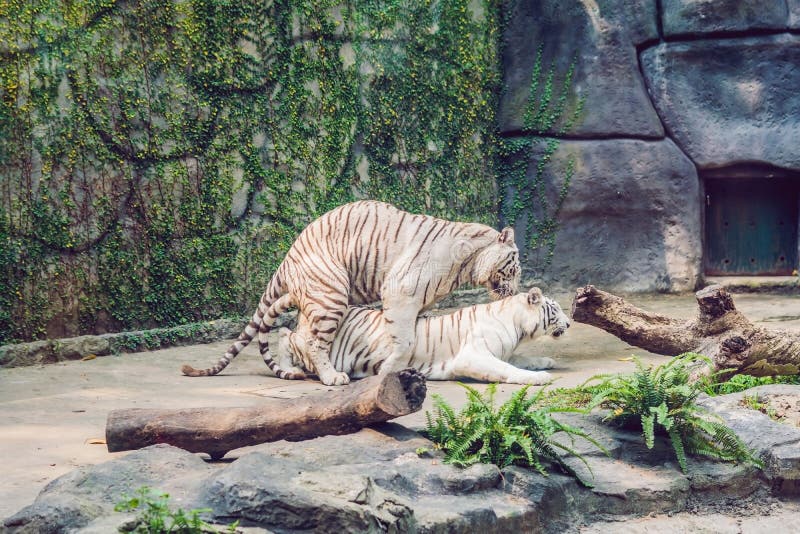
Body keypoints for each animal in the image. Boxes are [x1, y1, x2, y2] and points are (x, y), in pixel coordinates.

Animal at [181, 200, 521, 386]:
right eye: (515, 266)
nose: (516, 291)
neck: (467, 262)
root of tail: (286, 259)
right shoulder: (400, 291)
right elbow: (405, 340)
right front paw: (389, 371)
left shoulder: (417, 303)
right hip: (332, 295)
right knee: (313, 341)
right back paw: (332, 377)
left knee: (289, 333)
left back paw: (293, 369)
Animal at [273, 287, 570, 384]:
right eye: (555, 309)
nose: (569, 323)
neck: (518, 326)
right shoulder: (471, 355)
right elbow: (507, 369)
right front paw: (539, 378)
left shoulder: (504, 351)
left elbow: (521, 359)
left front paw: (545, 362)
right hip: (320, 344)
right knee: (288, 336)